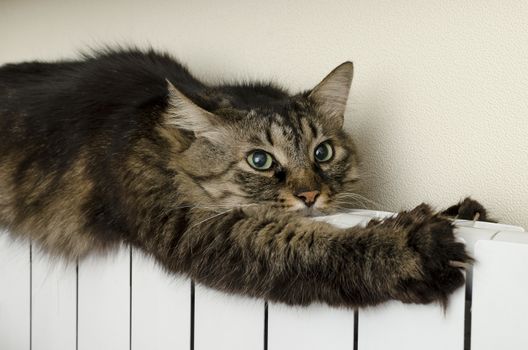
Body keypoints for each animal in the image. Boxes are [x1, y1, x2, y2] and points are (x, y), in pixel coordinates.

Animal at [1, 48, 478, 306]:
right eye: (260, 161)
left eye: (322, 152)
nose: (310, 195)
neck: (163, 140)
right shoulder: (194, 224)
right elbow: (306, 245)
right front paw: (409, 246)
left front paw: (466, 211)